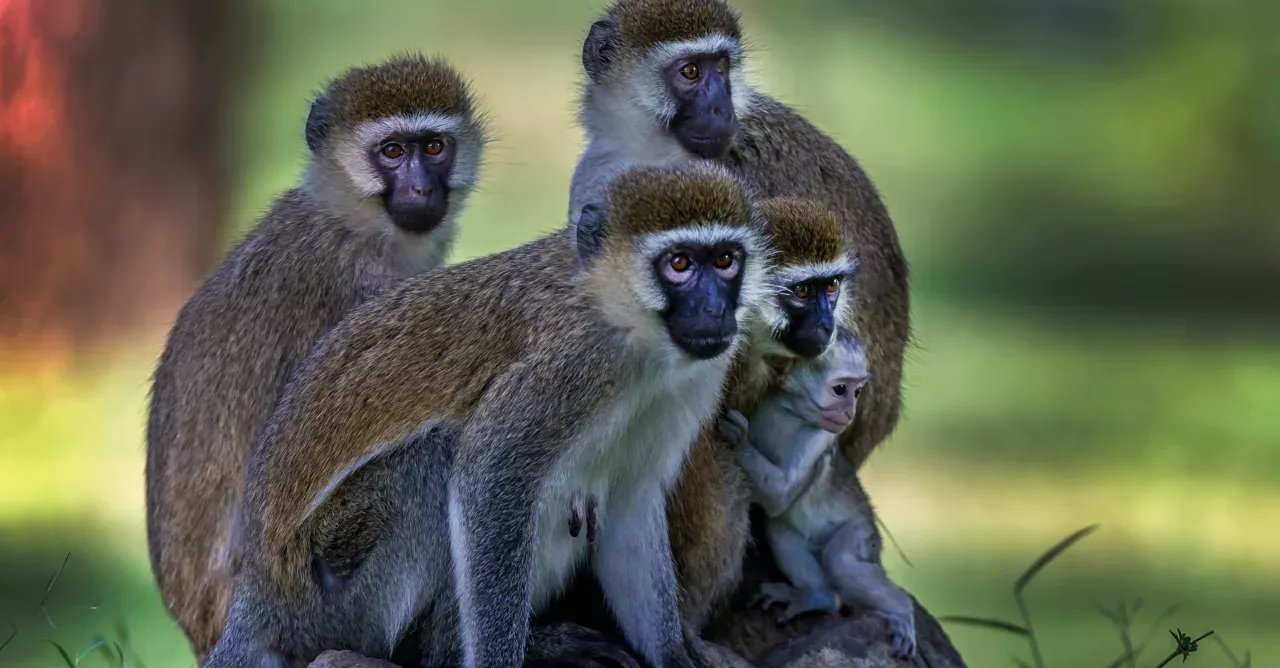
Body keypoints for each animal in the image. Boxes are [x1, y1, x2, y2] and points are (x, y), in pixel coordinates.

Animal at [202, 163, 776, 668]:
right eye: (679, 264)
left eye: (725, 260)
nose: (714, 310)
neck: (632, 328)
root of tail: (261, 592)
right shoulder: (571, 362)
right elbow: (489, 475)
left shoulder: (694, 380)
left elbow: (631, 501)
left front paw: (673, 653)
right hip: (339, 597)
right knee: (436, 464)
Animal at [718, 328, 916, 660]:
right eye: (841, 390)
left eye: (858, 392)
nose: (850, 412)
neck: (790, 414)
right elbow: (779, 511)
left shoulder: (819, 439)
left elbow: (781, 497)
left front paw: (740, 442)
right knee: (782, 532)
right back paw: (818, 597)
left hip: (864, 535)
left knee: (841, 560)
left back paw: (901, 611)